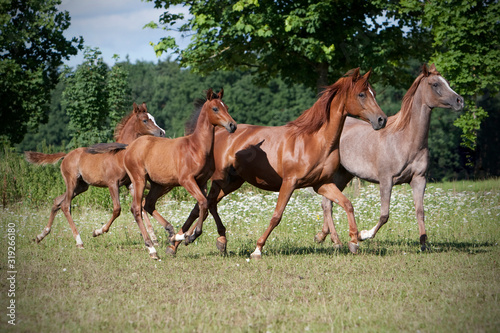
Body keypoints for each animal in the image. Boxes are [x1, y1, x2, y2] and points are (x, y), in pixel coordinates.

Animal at [24, 102, 164, 248]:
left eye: (153, 118)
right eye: (145, 120)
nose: (161, 132)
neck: (120, 155)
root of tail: (65, 156)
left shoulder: (130, 184)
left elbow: (140, 206)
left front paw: (154, 238)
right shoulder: (112, 184)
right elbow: (117, 209)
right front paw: (97, 231)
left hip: (81, 186)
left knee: (57, 201)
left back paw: (40, 236)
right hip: (71, 181)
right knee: (65, 205)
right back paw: (79, 241)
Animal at [123, 89, 236, 260]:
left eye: (227, 107)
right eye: (215, 108)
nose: (232, 125)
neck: (196, 148)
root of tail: (130, 147)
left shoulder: (202, 181)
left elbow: (205, 205)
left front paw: (184, 237)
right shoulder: (187, 180)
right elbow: (203, 203)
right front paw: (191, 236)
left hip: (159, 184)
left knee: (148, 204)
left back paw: (171, 232)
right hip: (139, 180)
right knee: (136, 208)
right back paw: (152, 248)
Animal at [172, 68, 386, 258]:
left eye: (374, 93)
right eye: (361, 94)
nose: (381, 120)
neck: (316, 140)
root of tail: (220, 130)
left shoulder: (322, 184)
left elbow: (348, 204)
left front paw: (354, 241)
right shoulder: (289, 183)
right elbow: (277, 216)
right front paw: (257, 249)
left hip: (232, 182)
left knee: (207, 204)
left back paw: (189, 240)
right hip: (220, 180)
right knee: (207, 204)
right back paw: (186, 239)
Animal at [316, 63, 464, 249]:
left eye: (447, 82)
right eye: (435, 84)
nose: (460, 101)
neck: (405, 139)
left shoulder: (419, 179)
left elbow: (420, 211)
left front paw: (423, 243)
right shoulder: (386, 180)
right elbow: (384, 215)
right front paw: (363, 235)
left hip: (343, 175)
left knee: (327, 202)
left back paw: (322, 236)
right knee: (327, 204)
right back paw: (336, 240)